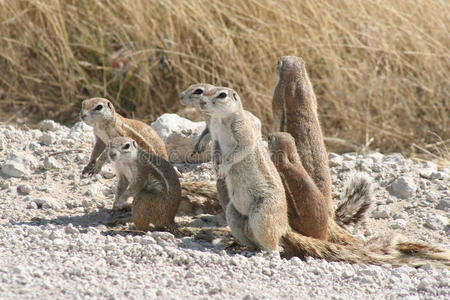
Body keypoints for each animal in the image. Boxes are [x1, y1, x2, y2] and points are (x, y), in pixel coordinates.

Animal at [203, 87, 450, 268]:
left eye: (221, 94)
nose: (203, 103)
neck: (222, 121)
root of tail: (285, 227)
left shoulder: (243, 132)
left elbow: (241, 150)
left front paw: (225, 167)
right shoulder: (215, 137)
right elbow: (215, 149)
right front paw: (217, 165)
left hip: (263, 213)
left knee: (272, 242)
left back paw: (267, 254)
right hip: (235, 214)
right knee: (249, 235)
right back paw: (242, 248)